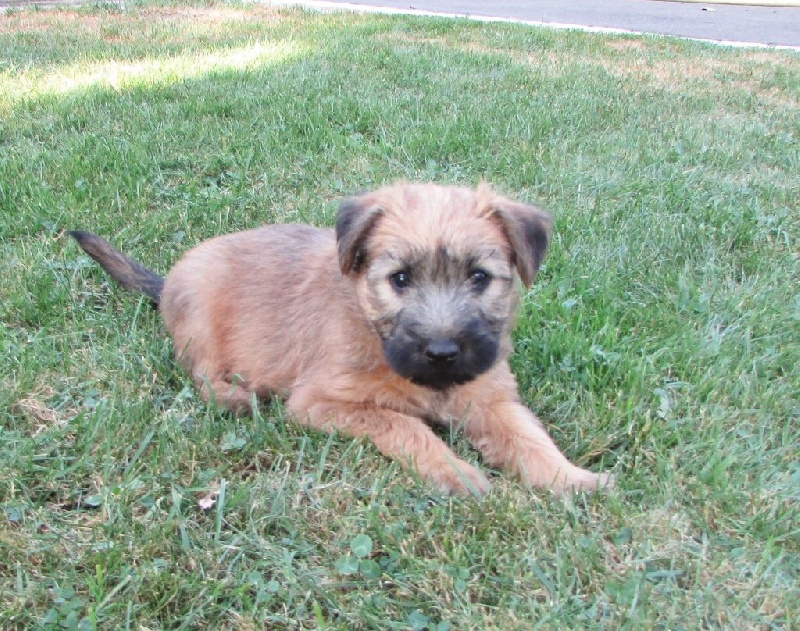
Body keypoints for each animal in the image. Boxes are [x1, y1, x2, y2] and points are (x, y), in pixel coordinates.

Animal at [71, 183, 612, 496]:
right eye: (399, 279)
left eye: (479, 277)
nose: (442, 353)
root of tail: (166, 283)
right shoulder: (321, 402)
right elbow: (404, 425)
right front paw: (454, 472)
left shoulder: (491, 399)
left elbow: (530, 439)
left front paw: (572, 478)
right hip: (200, 312)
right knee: (199, 372)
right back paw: (233, 397)